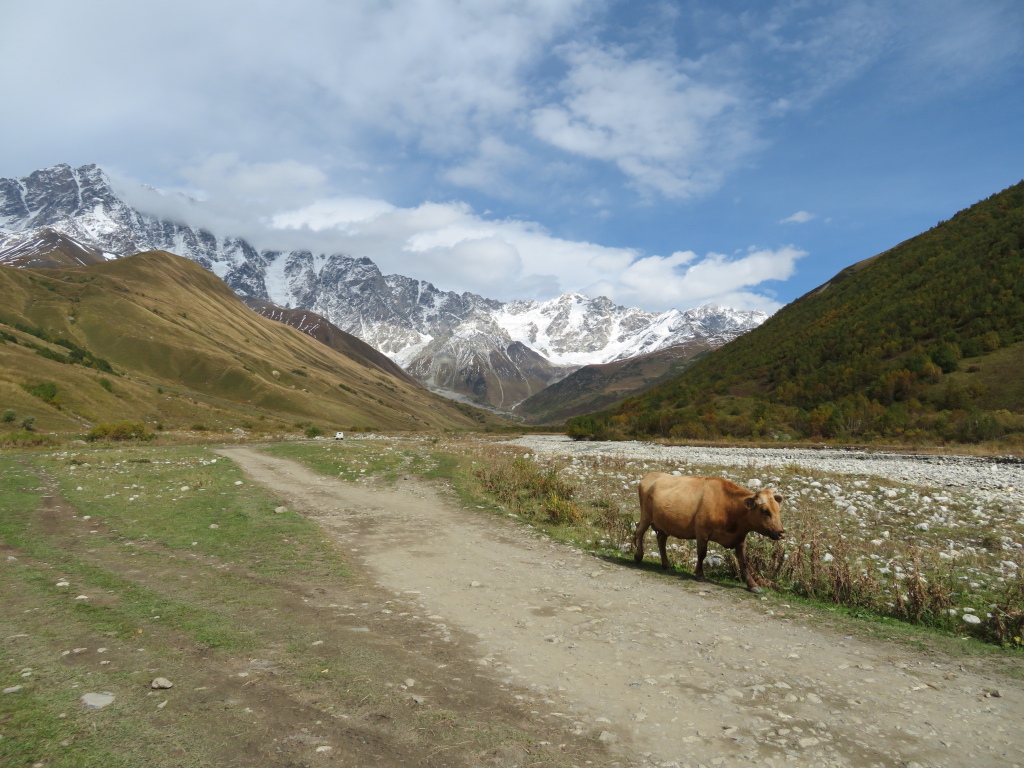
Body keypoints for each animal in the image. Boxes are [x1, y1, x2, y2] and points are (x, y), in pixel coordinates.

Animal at [630, 475, 782, 593]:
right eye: (765, 511)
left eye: (778, 509)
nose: (781, 533)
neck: (728, 507)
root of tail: (651, 476)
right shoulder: (702, 532)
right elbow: (702, 554)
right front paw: (699, 574)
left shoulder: (740, 538)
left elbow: (744, 561)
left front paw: (752, 585)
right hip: (646, 517)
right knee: (639, 532)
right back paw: (638, 556)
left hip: (664, 524)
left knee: (661, 539)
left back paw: (666, 565)